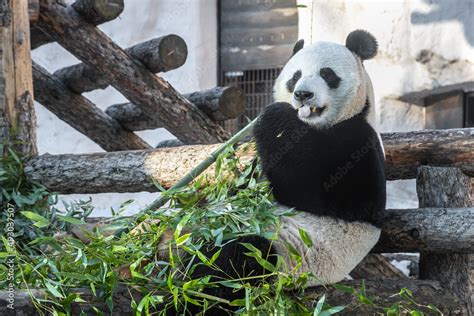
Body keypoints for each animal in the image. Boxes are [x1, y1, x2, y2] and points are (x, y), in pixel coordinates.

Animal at [187, 29, 386, 314]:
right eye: (295, 76)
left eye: (327, 73)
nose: (303, 94)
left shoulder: (359, 142)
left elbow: (314, 190)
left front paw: (274, 115)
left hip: (289, 256)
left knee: (232, 260)